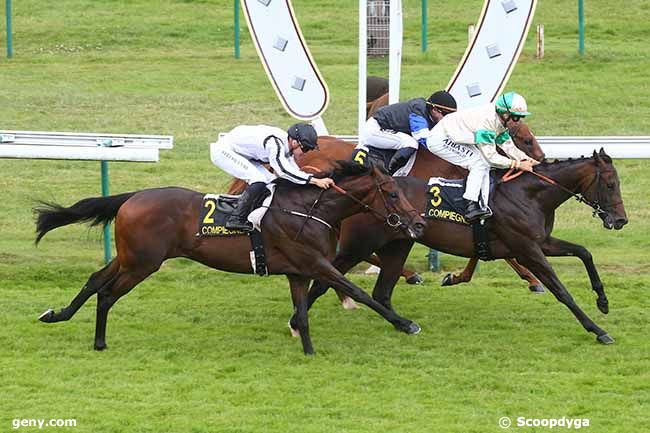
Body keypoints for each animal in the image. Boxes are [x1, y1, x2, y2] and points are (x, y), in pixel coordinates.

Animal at [33, 162, 426, 354]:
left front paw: (308, 350)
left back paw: (57, 315)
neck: (311, 210)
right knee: (106, 293)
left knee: (94, 281)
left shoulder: (298, 272)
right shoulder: (316, 264)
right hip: (142, 263)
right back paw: (99, 342)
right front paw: (405, 323)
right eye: (392, 193)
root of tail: (132, 198)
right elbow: (357, 292)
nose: (418, 223)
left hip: (130, 257)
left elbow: (302, 312)